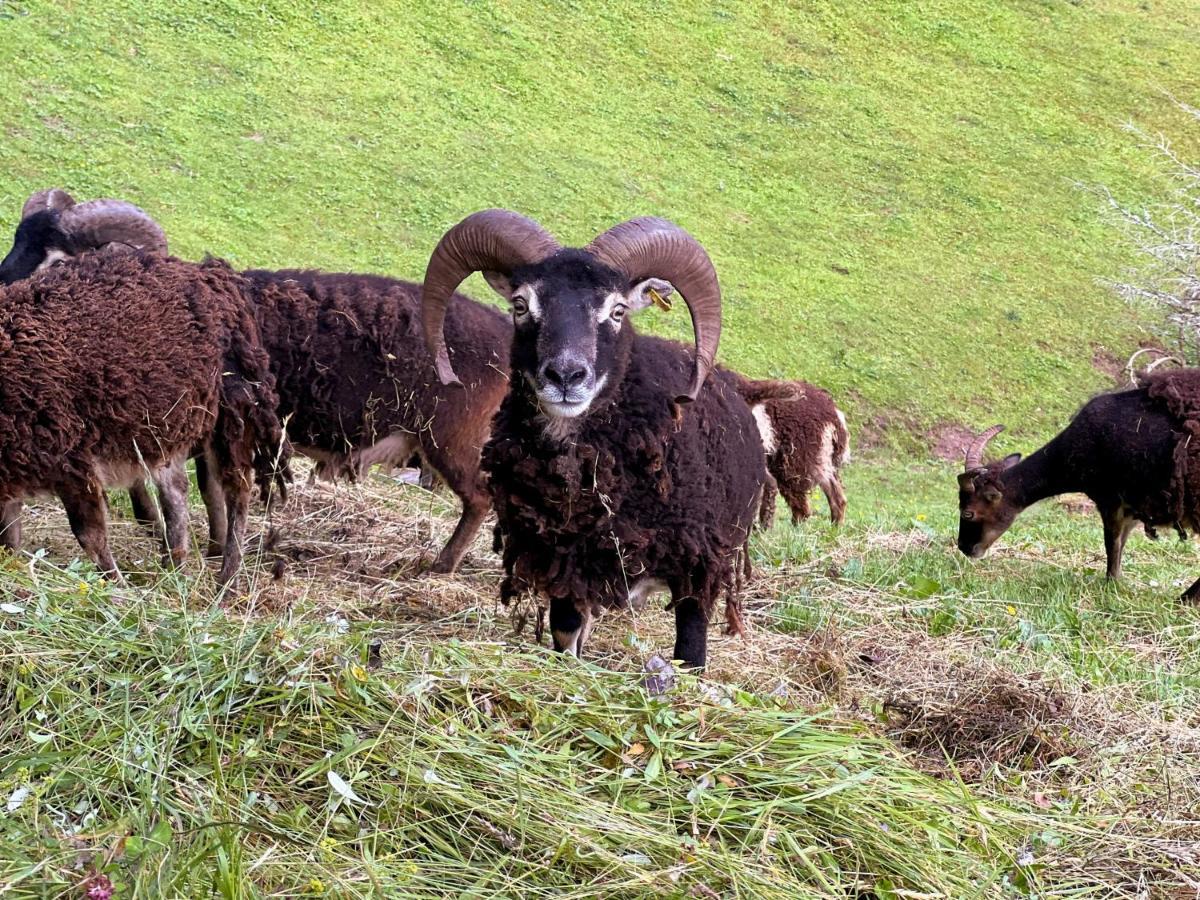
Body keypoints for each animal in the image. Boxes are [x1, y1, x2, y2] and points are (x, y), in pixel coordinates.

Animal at [0, 252, 288, 585]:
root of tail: (213, 274)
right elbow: (9, 533)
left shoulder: (69, 460)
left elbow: (90, 535)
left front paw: (116, 587)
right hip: (168, 425)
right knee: (176, 491)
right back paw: (173, 567)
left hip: (232, 416)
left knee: (237, 492)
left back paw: (225, 581)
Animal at [422, 206, 768, 672]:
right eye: (520, 305)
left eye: (618, 310)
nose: (566, 376)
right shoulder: (565, 562)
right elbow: (566, 632)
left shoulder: (699, 566)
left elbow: (691, 653)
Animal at [729, 374, 854, 528]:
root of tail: (835, 415)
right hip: (818, 458)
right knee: (836, 496)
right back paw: (835, 528)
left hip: (795, 462)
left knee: (802, 507)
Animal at [960, 369, 1200, 602]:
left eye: (968, 513)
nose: (964, 548)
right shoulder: (1134, 507)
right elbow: (1121, 543)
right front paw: (1117, 583)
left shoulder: (1109, 499)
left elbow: (1112, 544)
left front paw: (1110, 583)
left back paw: (1185, 600)